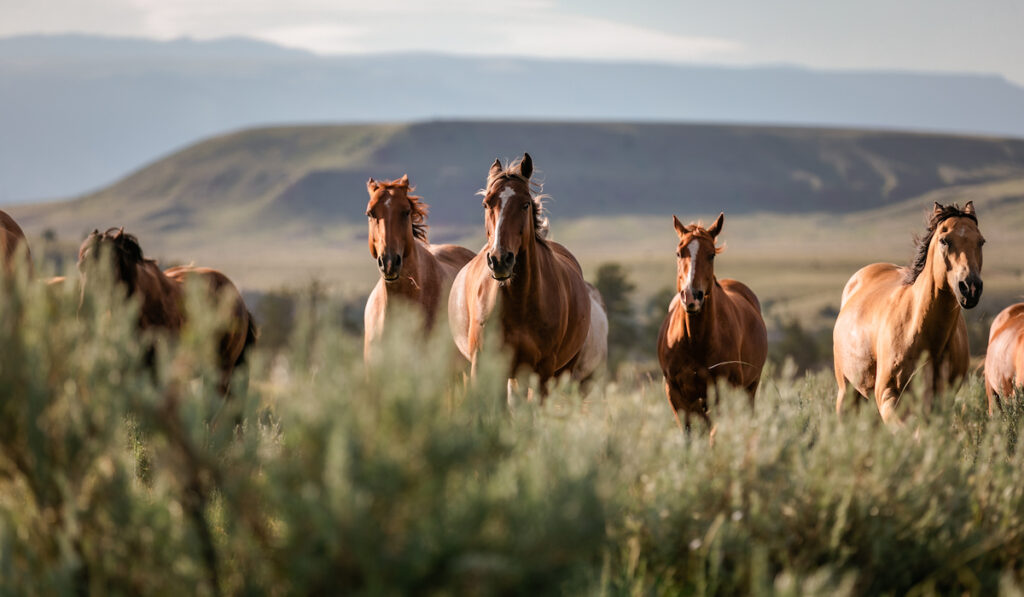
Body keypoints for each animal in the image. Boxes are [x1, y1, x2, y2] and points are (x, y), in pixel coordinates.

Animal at [450, 154, 606, 397]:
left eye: (525, 204)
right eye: (486, 203)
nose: (499, 259)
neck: (518, 303)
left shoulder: (543, 371)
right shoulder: (482, 366)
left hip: (563, 371)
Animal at [655, 212, 770, 432]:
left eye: (711, 255)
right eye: (678, 253)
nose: (692, 296)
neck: (695, 341)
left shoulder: (724, 393)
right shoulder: (676, 394)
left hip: (750, 389)